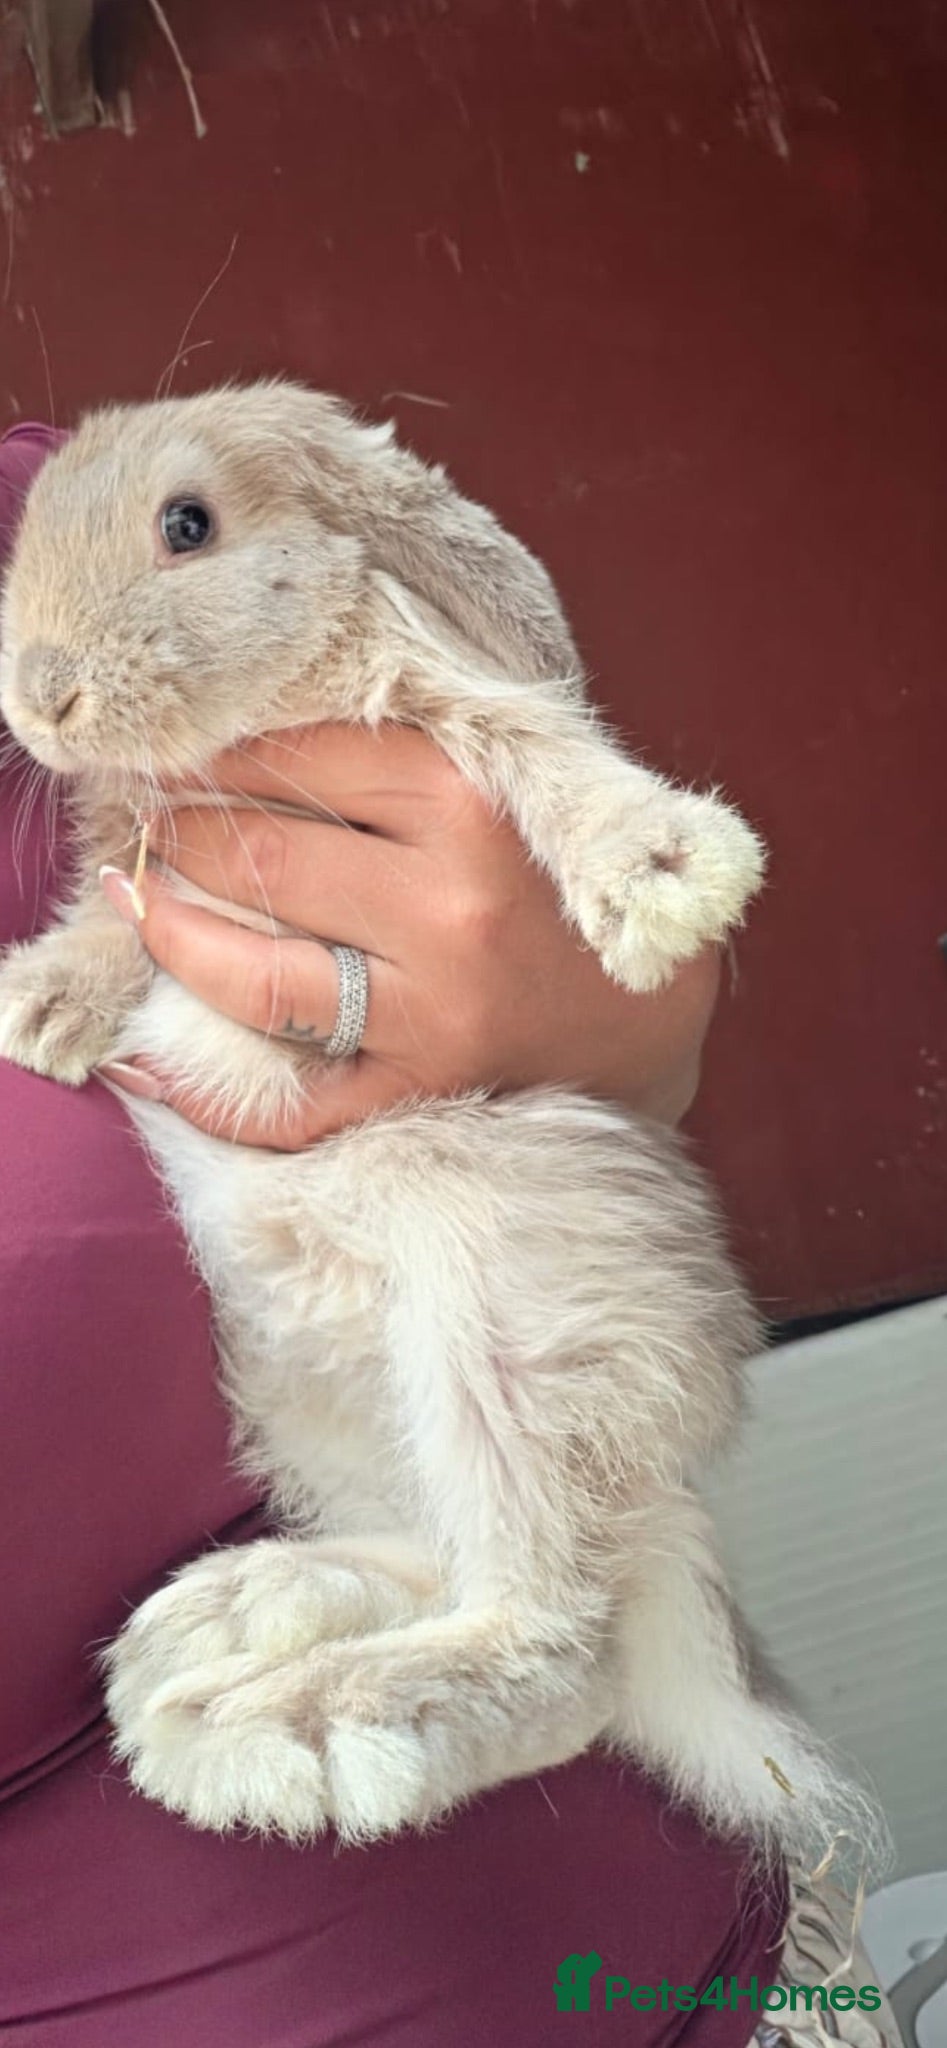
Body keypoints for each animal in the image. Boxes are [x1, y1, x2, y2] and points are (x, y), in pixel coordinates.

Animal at [0, 382, 871, 1870]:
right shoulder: (147, 847)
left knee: (556, 1642)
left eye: (188, 524)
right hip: (317, 1405)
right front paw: (41, 1004)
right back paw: (228, 1628)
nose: (39, 692)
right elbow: (125, 907)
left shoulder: (438, 704)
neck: (242, 746)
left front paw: (666, 879)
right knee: (451, 1559)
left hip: (494, 1320)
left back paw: (298, 1727)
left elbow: (542, 751)